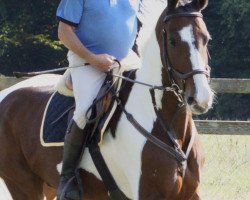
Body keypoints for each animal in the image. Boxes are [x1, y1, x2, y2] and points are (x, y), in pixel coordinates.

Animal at [0, 0, 213, 199]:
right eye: (173, 41)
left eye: (207, 39)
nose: (200, 98)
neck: (168, 126)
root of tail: (6, 94)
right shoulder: (149, 193)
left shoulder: (191, 194)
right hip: (23, 184)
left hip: (48, 186)